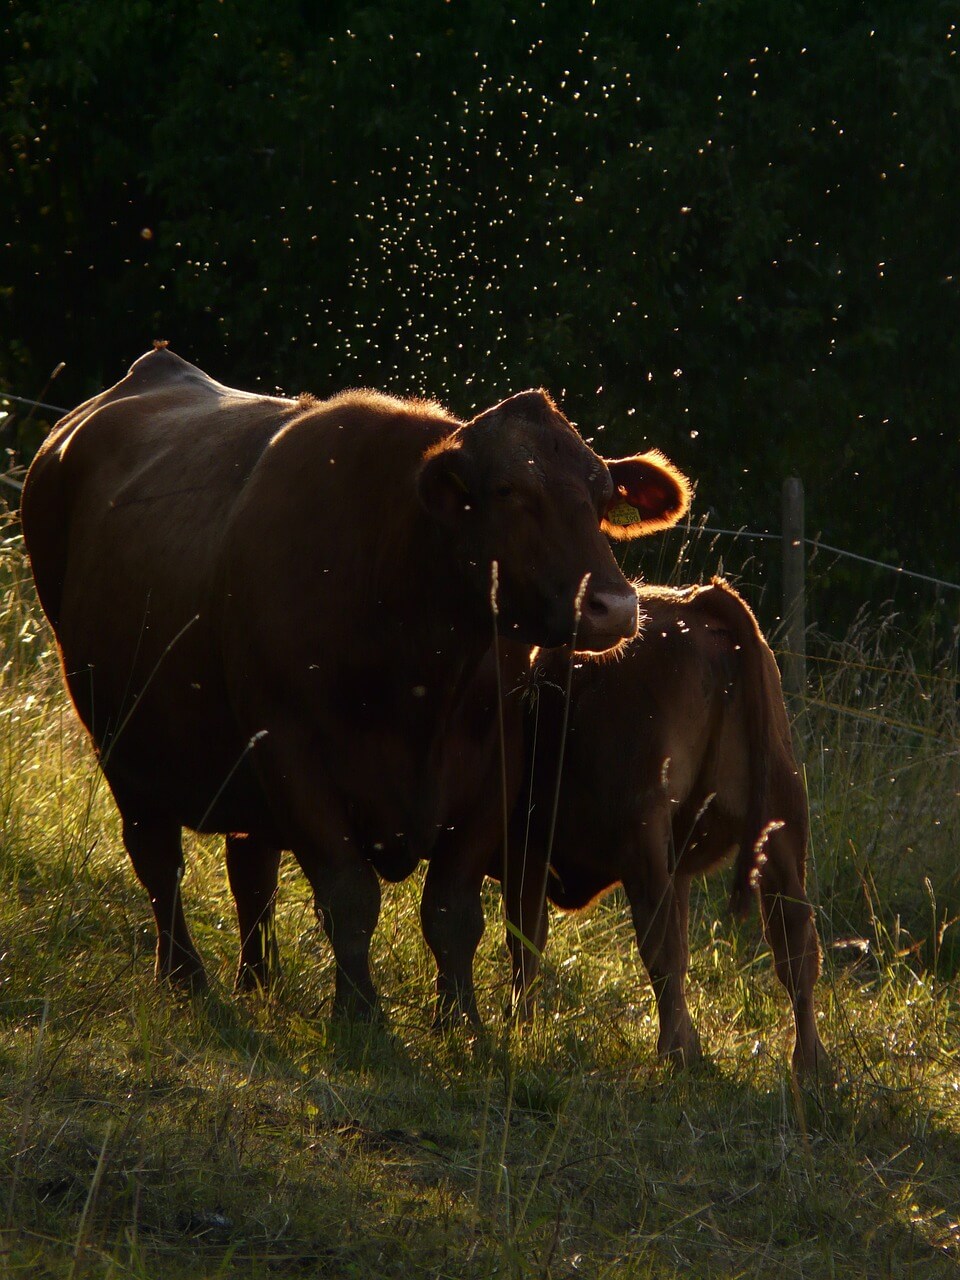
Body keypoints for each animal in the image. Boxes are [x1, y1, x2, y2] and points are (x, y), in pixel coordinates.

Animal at [506, 583, 829, 1080]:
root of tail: (696, 602)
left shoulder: (522, 847)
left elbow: (519, 938)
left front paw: (512, 1027)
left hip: (644, 840)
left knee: (662, 948)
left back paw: (678, 1052)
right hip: (776, 823)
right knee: (794, 945)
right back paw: (810, 1066)